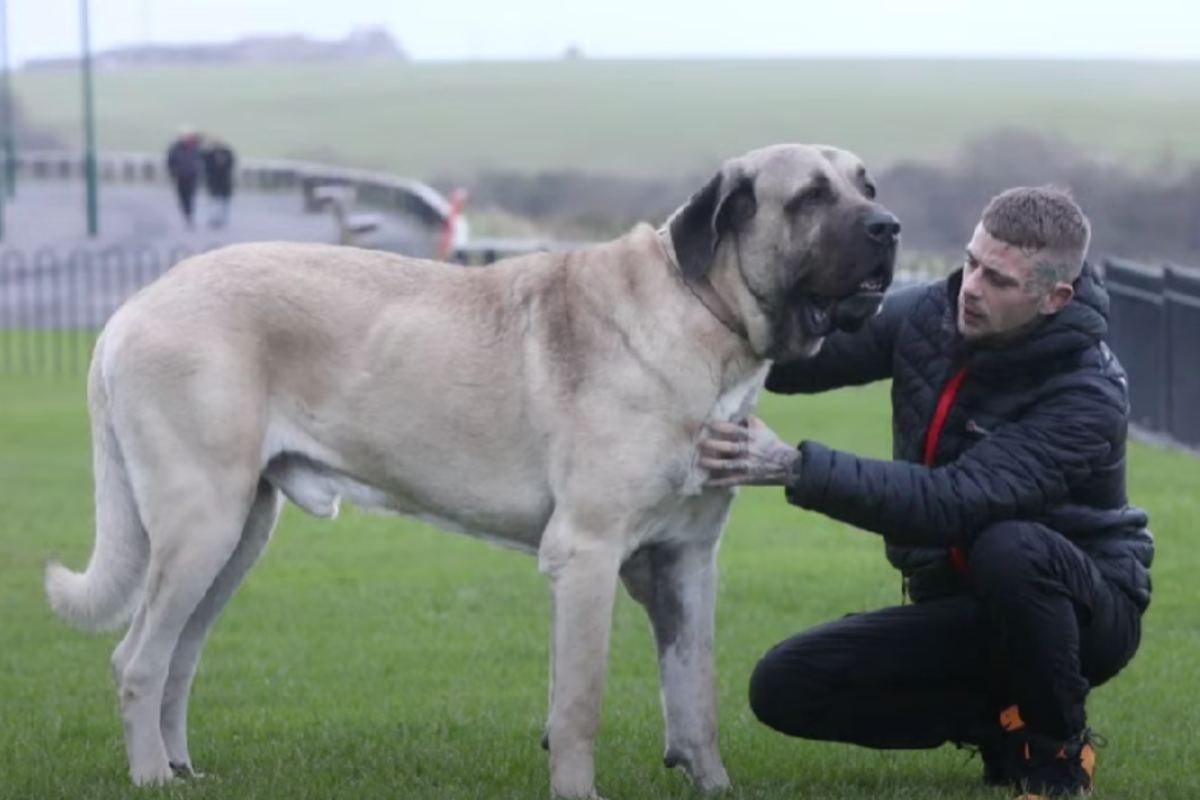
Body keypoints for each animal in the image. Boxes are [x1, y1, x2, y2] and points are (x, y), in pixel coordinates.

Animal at [46, 143, 902, 796]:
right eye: (810, 197)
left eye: (868, 185)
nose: (890, 226)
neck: (706, 317)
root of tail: (129, 312)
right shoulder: (587, 556)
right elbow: (580, 702)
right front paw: (578, 790)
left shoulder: (687, 561)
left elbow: (695, 694)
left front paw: (714, 783)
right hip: (203, 522)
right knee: (137, 659)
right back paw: (150, 776)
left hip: (239, 534)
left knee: (178, 658)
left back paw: (180, 768)